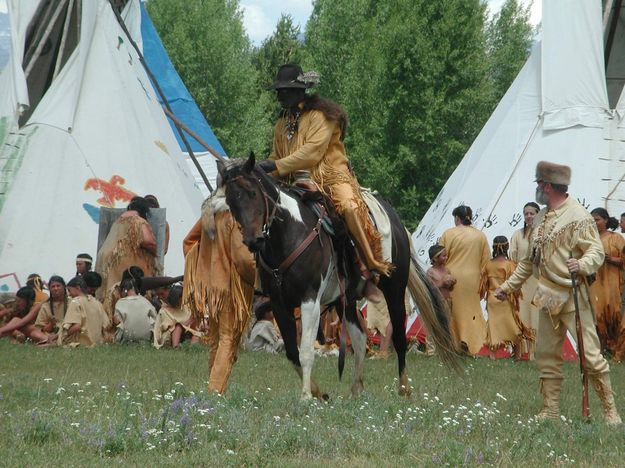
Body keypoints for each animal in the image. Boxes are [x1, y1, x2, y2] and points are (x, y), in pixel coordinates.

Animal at [217, 155, 456, 400]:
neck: (289, 235)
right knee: (360, 339)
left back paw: (404, 388)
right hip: (347, 300)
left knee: (398, 336)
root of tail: (397, 222)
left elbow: (305, 351)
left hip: (395, 289)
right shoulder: (279, 304)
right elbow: (293, 353)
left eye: (252, 193)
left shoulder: (310, 300)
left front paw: (306, 397)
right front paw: (319, 393)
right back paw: (356, 389)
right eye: (231, 202)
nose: (253, 240)